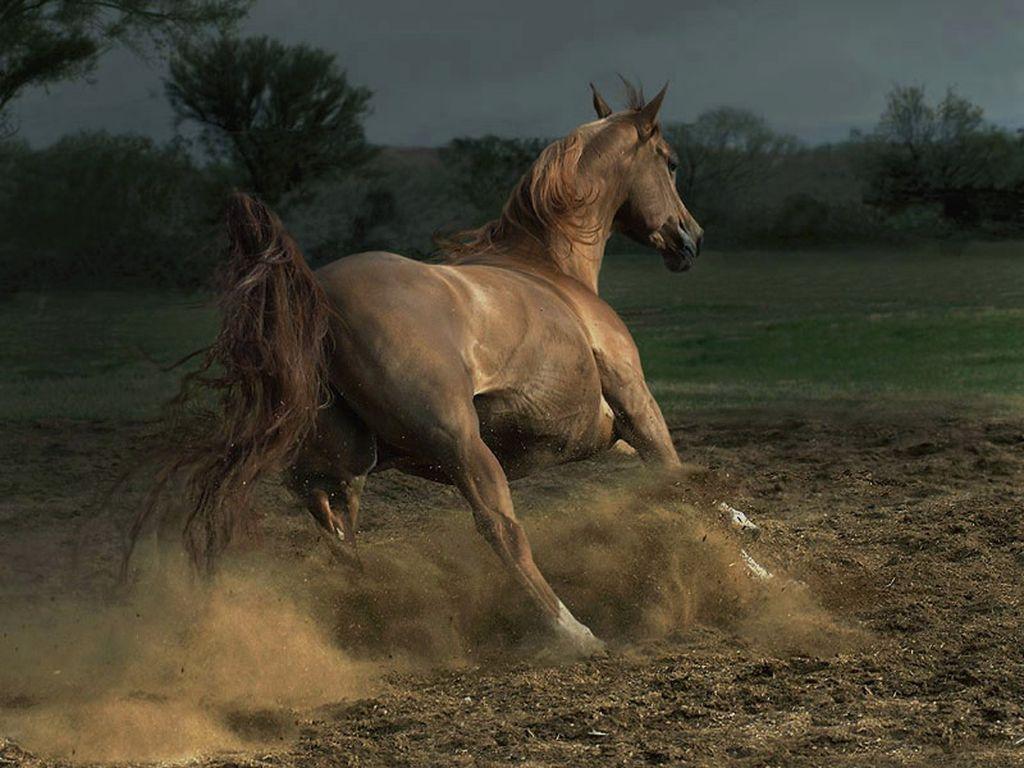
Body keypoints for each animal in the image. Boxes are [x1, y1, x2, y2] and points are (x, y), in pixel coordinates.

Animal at [157, 82, 704, 655]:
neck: (553, 271)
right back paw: (573, 633)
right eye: (670, 162)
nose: (692, 236)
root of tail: (319, 296)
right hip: (461, 446)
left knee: (338, 537)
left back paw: (371, 623)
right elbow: (683, 482)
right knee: (499, 529)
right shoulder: (636, 403)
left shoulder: (609, 430)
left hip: (342, 464)